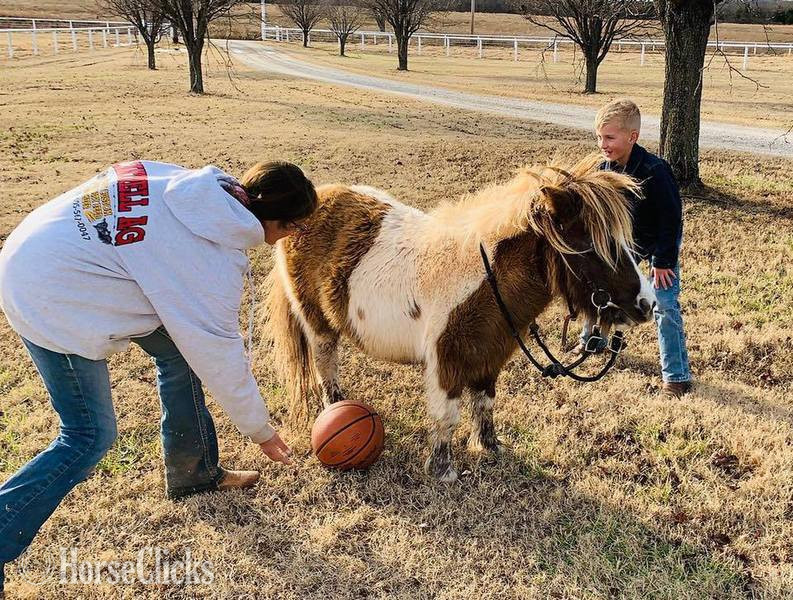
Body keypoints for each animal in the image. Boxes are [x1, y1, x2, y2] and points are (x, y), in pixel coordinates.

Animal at [265, 155, 657, 482]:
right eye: (593, 246)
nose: (647, 304)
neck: (485, 280)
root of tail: (322, 197)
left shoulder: (488, 356)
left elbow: (484, 404)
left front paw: (490, 448)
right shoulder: (446, 361)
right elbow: (447, 414)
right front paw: (443, 471)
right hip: (317, 324)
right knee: (325, 363)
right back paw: (334, 406)